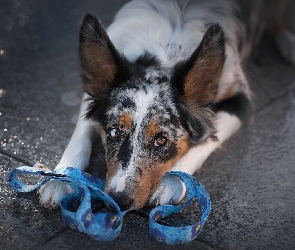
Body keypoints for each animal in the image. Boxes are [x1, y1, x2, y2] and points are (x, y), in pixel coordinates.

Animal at [39, 0, 295, 211]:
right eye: (114, 132)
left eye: (161, 140)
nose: (118, 201)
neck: (165, 55)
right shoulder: (93, 98)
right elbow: (80, 137)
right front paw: (61, 178)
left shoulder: (241, 102)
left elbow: (206, 141)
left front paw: (172, 183)